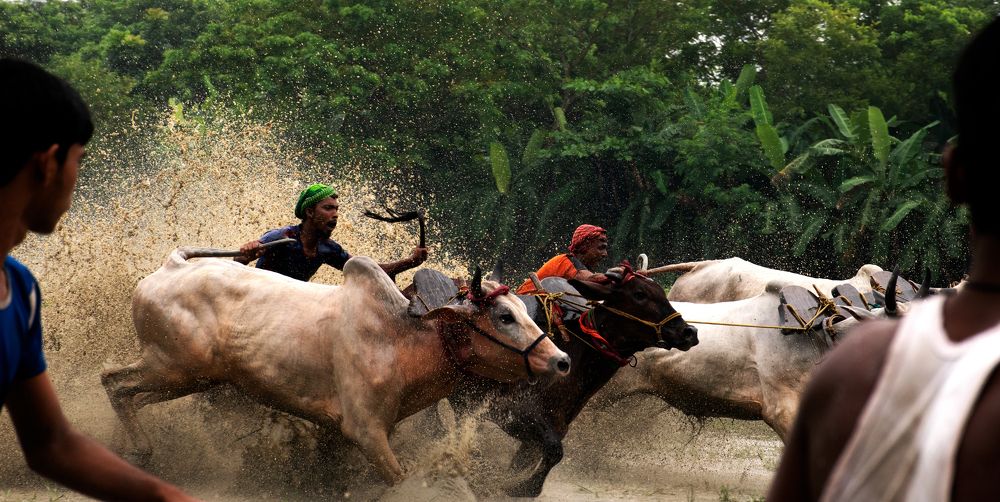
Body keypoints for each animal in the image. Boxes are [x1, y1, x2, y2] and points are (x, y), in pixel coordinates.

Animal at [101, 249, 571, 484]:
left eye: (521, 309)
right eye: (504, 316)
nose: (562, 360)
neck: (403, 339)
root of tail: (168, 267)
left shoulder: (342, 433)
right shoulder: (366, 432)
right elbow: (398, 478)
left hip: (190, 379)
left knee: (128, 394)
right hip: (173, 368)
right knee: (113, 381)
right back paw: (138, 452)